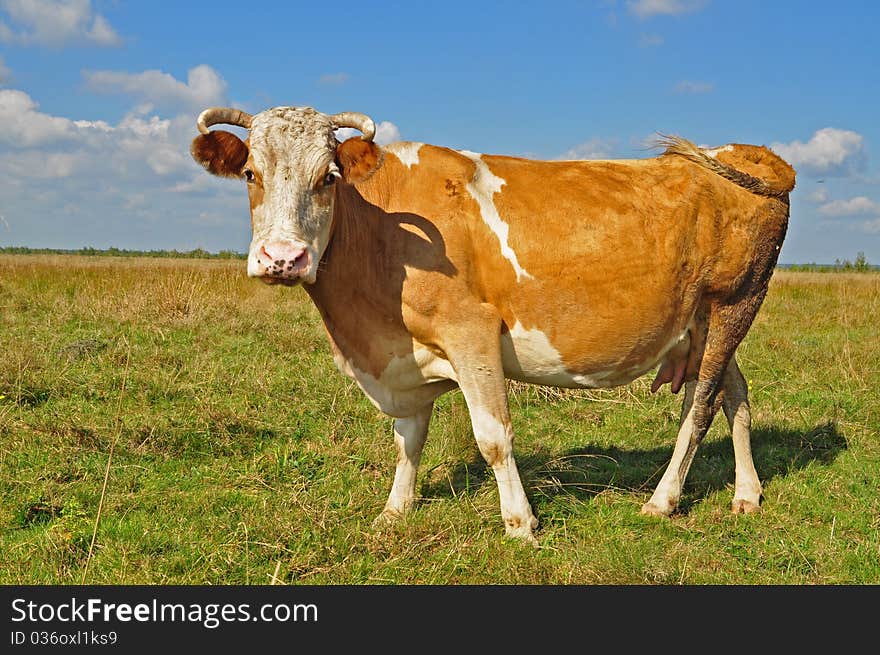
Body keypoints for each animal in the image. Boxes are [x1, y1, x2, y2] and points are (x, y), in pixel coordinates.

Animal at [189, 106, 796, 544]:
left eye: (328, 177)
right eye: (250, 174)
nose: (282, 258)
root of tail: (747, 152)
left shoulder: (470, 332)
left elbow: (494, 437)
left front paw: (521, 524)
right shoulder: (406, 354)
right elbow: (408, 438)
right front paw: (395, 510)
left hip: (736, 302)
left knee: (701, 406)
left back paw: (662, 501)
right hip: (705, 323)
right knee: (735, 394)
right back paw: (747, 494)